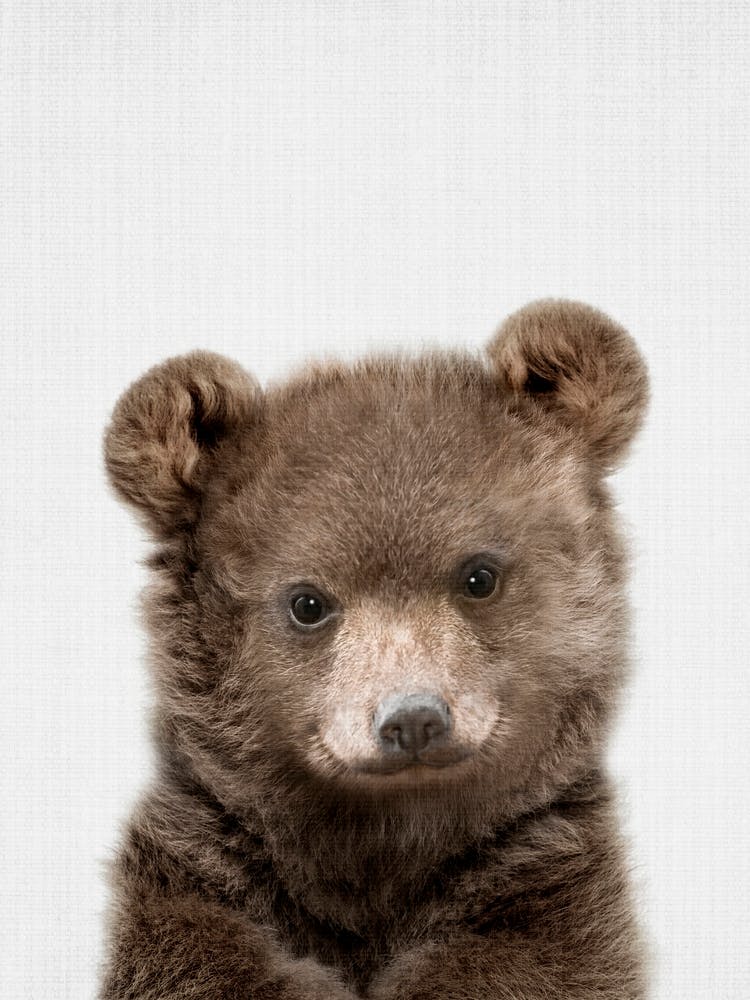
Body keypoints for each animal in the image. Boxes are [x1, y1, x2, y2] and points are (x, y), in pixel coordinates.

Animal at [99, 299, 649, 1000]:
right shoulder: (204, 863)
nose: (412, 719)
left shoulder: (544, 877)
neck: (382, 845)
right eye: (307, 602)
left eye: (479, 575)